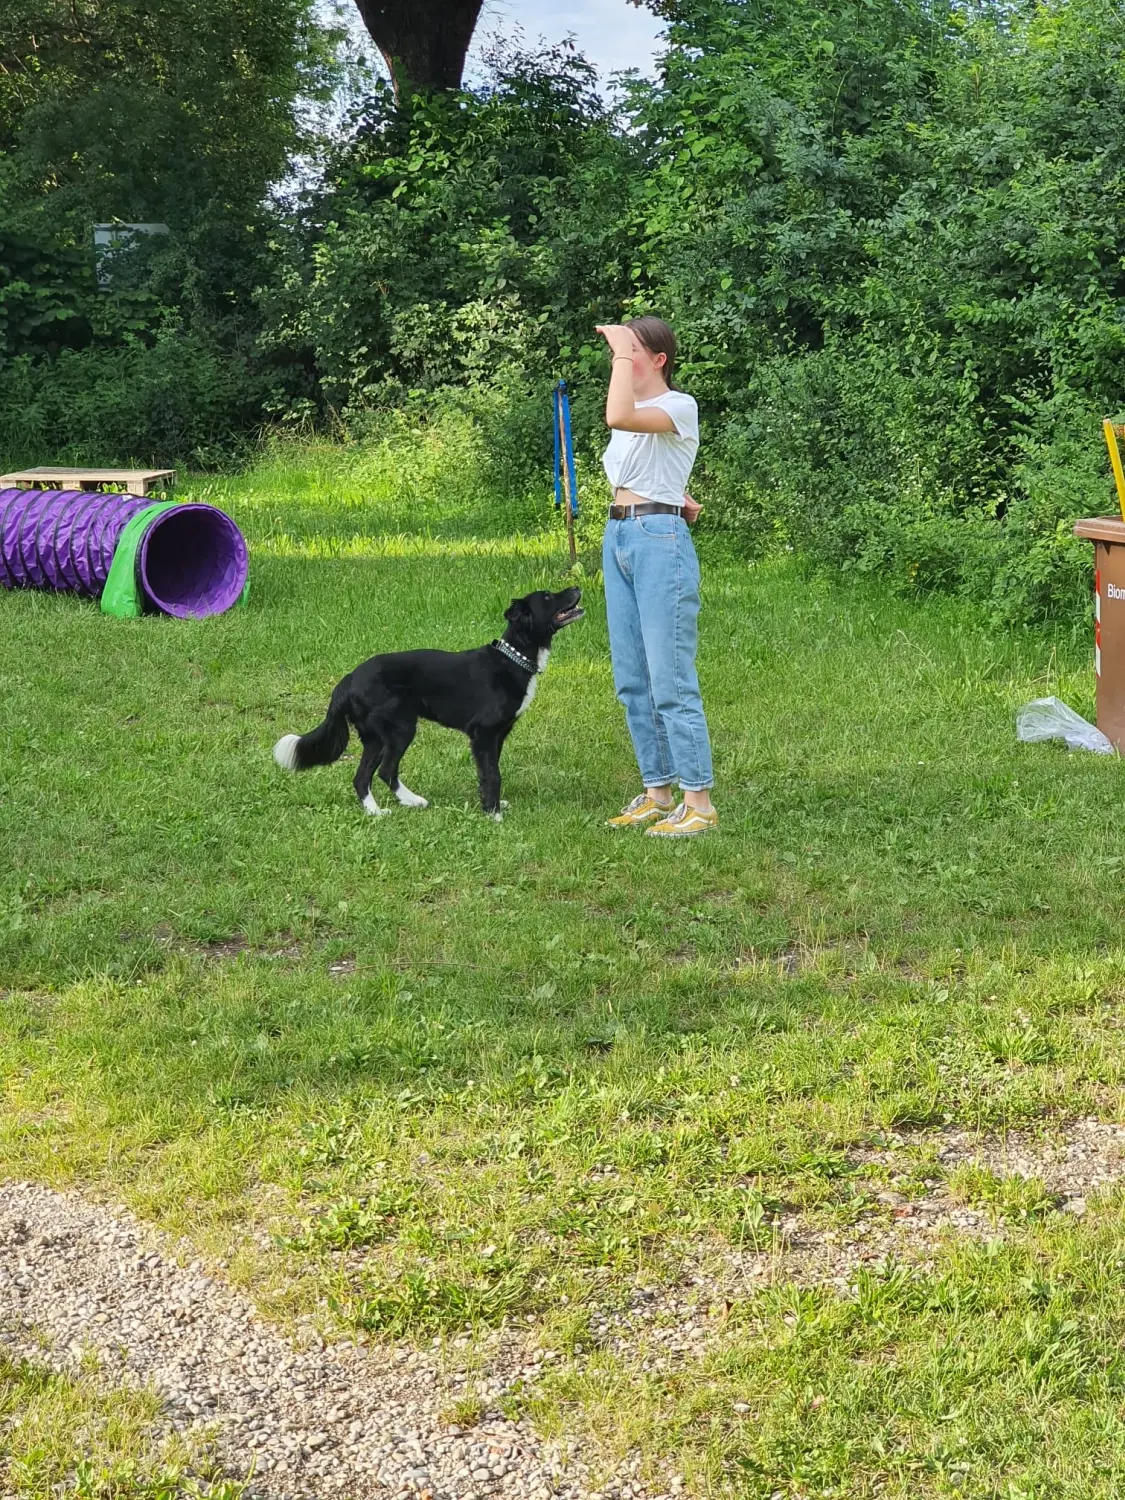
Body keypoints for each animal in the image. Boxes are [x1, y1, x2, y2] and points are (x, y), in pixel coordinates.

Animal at [273, 588, 585, 822]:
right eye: (547, 597)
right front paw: (493, 814)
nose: (576, 587)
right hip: (398, 728)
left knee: (370, 774)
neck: (514, 658)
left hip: (376, 735)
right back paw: (382, 811)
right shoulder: (483, 733)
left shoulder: (499, 735)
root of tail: (348, 679)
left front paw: (493, 804)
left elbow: (490, 770)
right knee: (378, 772)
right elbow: (492, 774)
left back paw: (402, 804)